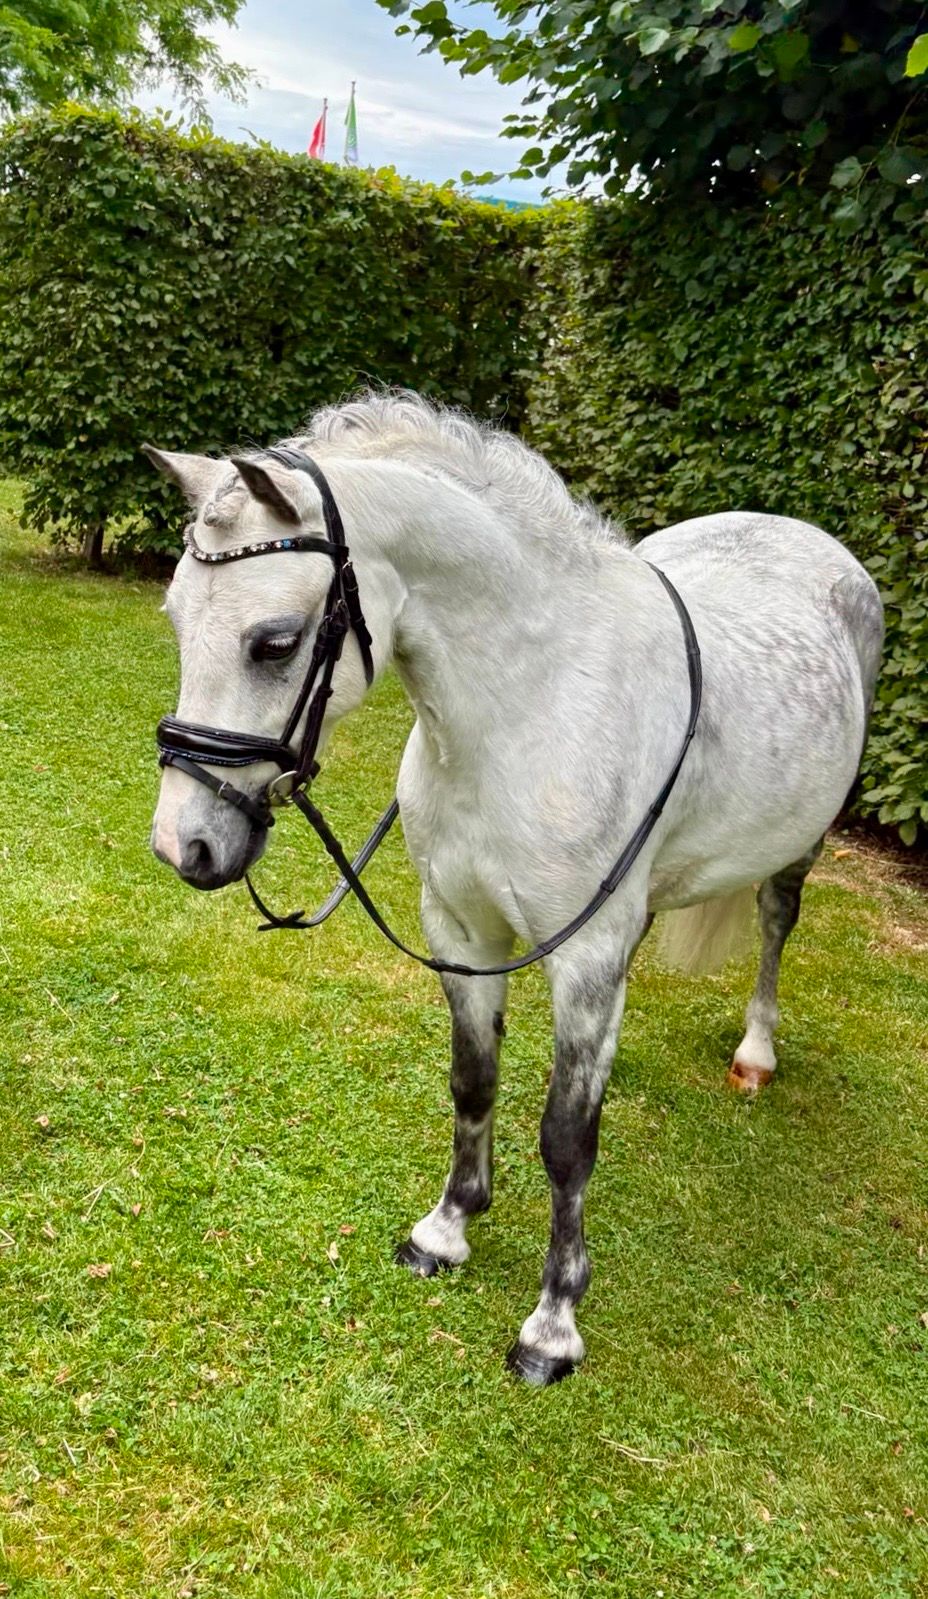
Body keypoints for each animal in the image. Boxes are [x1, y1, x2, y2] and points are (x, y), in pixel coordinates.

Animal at [147, 392, 884, 1386]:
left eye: (274, 642)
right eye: (176, 617)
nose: (183, 843)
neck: (530, 707)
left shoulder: (584, 956)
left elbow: (567, 1140)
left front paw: (552, 1323)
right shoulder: (459, 931)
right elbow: (473, 1080)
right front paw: (447, 1229)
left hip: (798, 845)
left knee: (775, 921)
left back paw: (757, 1054)